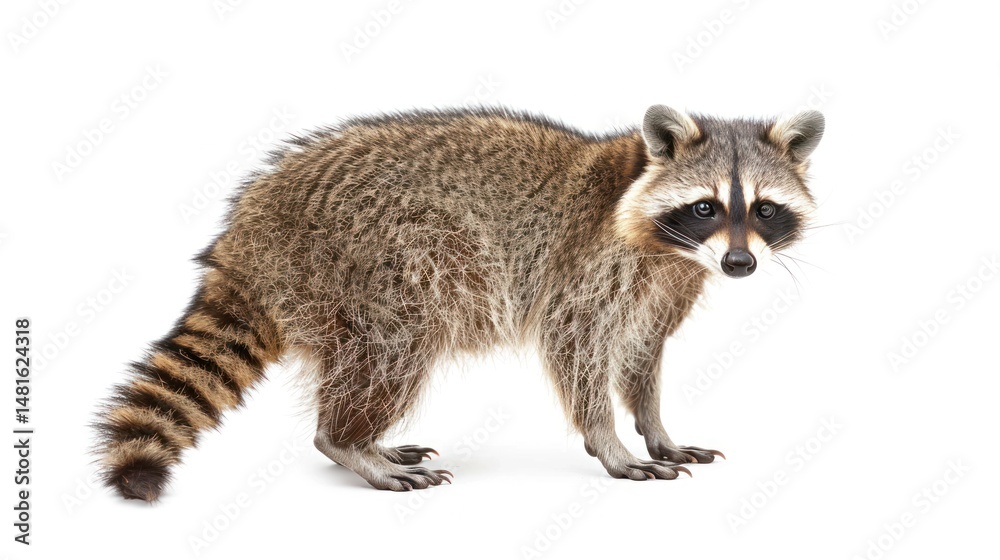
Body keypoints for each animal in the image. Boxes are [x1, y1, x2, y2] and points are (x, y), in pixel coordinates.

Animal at [94, 105, 823, 501]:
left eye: (763, 208)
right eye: (705, 207)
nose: (739, 264)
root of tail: (250, 230)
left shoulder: (665, 283)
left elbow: (641, 354)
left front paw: (654, 424)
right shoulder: (589, 267)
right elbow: (578, 347)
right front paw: (609, 440)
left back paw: (367, 441)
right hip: (371, 263)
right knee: (395, 347)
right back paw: (349, 441)